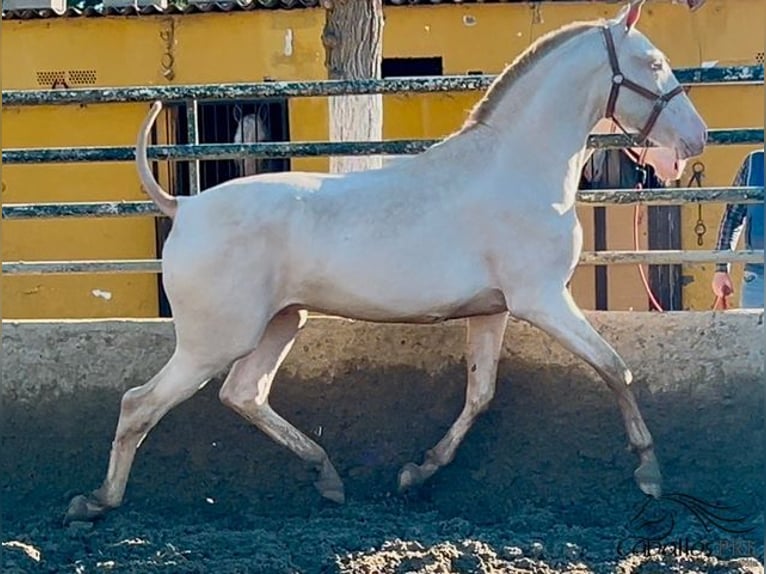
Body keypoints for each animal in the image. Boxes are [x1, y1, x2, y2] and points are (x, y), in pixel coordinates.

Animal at [66, 3, 708, 528]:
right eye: (653, 63)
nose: (697, 139)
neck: (517, 168)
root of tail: (184, 205)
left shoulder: (494, 312)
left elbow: (480, 394)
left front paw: (415, 474)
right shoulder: (544, 300)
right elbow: (615, 369)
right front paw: (650, 475)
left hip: (281, 323)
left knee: (243, 395)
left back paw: (328, 478)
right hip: (216, 340)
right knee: (140, 404)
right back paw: (95, 503)